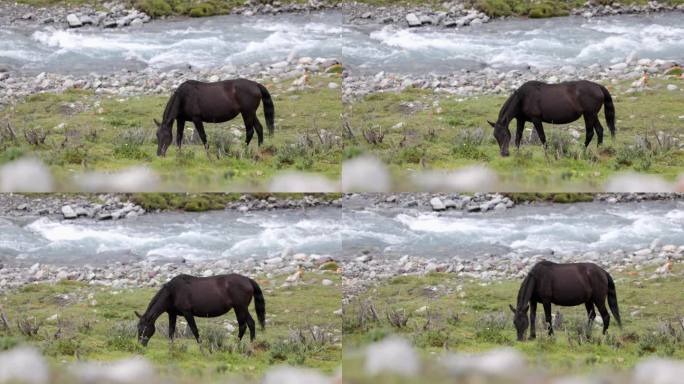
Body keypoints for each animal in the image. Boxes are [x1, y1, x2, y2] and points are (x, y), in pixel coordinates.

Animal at [134, 274, 264, 346]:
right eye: (138, 328)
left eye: (143, 329)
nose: (141, 345)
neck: (172, 292)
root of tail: (248, 280)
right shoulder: (172, 314)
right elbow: (171, 331)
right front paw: (171, 346)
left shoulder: (187, 313)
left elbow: (194, 330)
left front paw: (201, 347)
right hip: (242, 308)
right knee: (251, 323)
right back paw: (252, 344)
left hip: (240, 308)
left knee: (243, 326)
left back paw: (238, 344)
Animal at [488, 79, 616, 156]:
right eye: (496, 136)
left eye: (505, 135)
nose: (504, 153)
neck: (523, 98)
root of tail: (598, 87)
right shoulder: (521, 120)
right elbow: (518, 137)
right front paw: (517, 153)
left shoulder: (536, 120)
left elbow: (542, 137)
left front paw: (546, 154)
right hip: (592, 115)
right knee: (599, 130)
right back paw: (599, 150)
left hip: (589, 115)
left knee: (590, 133)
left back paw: (583, 151)